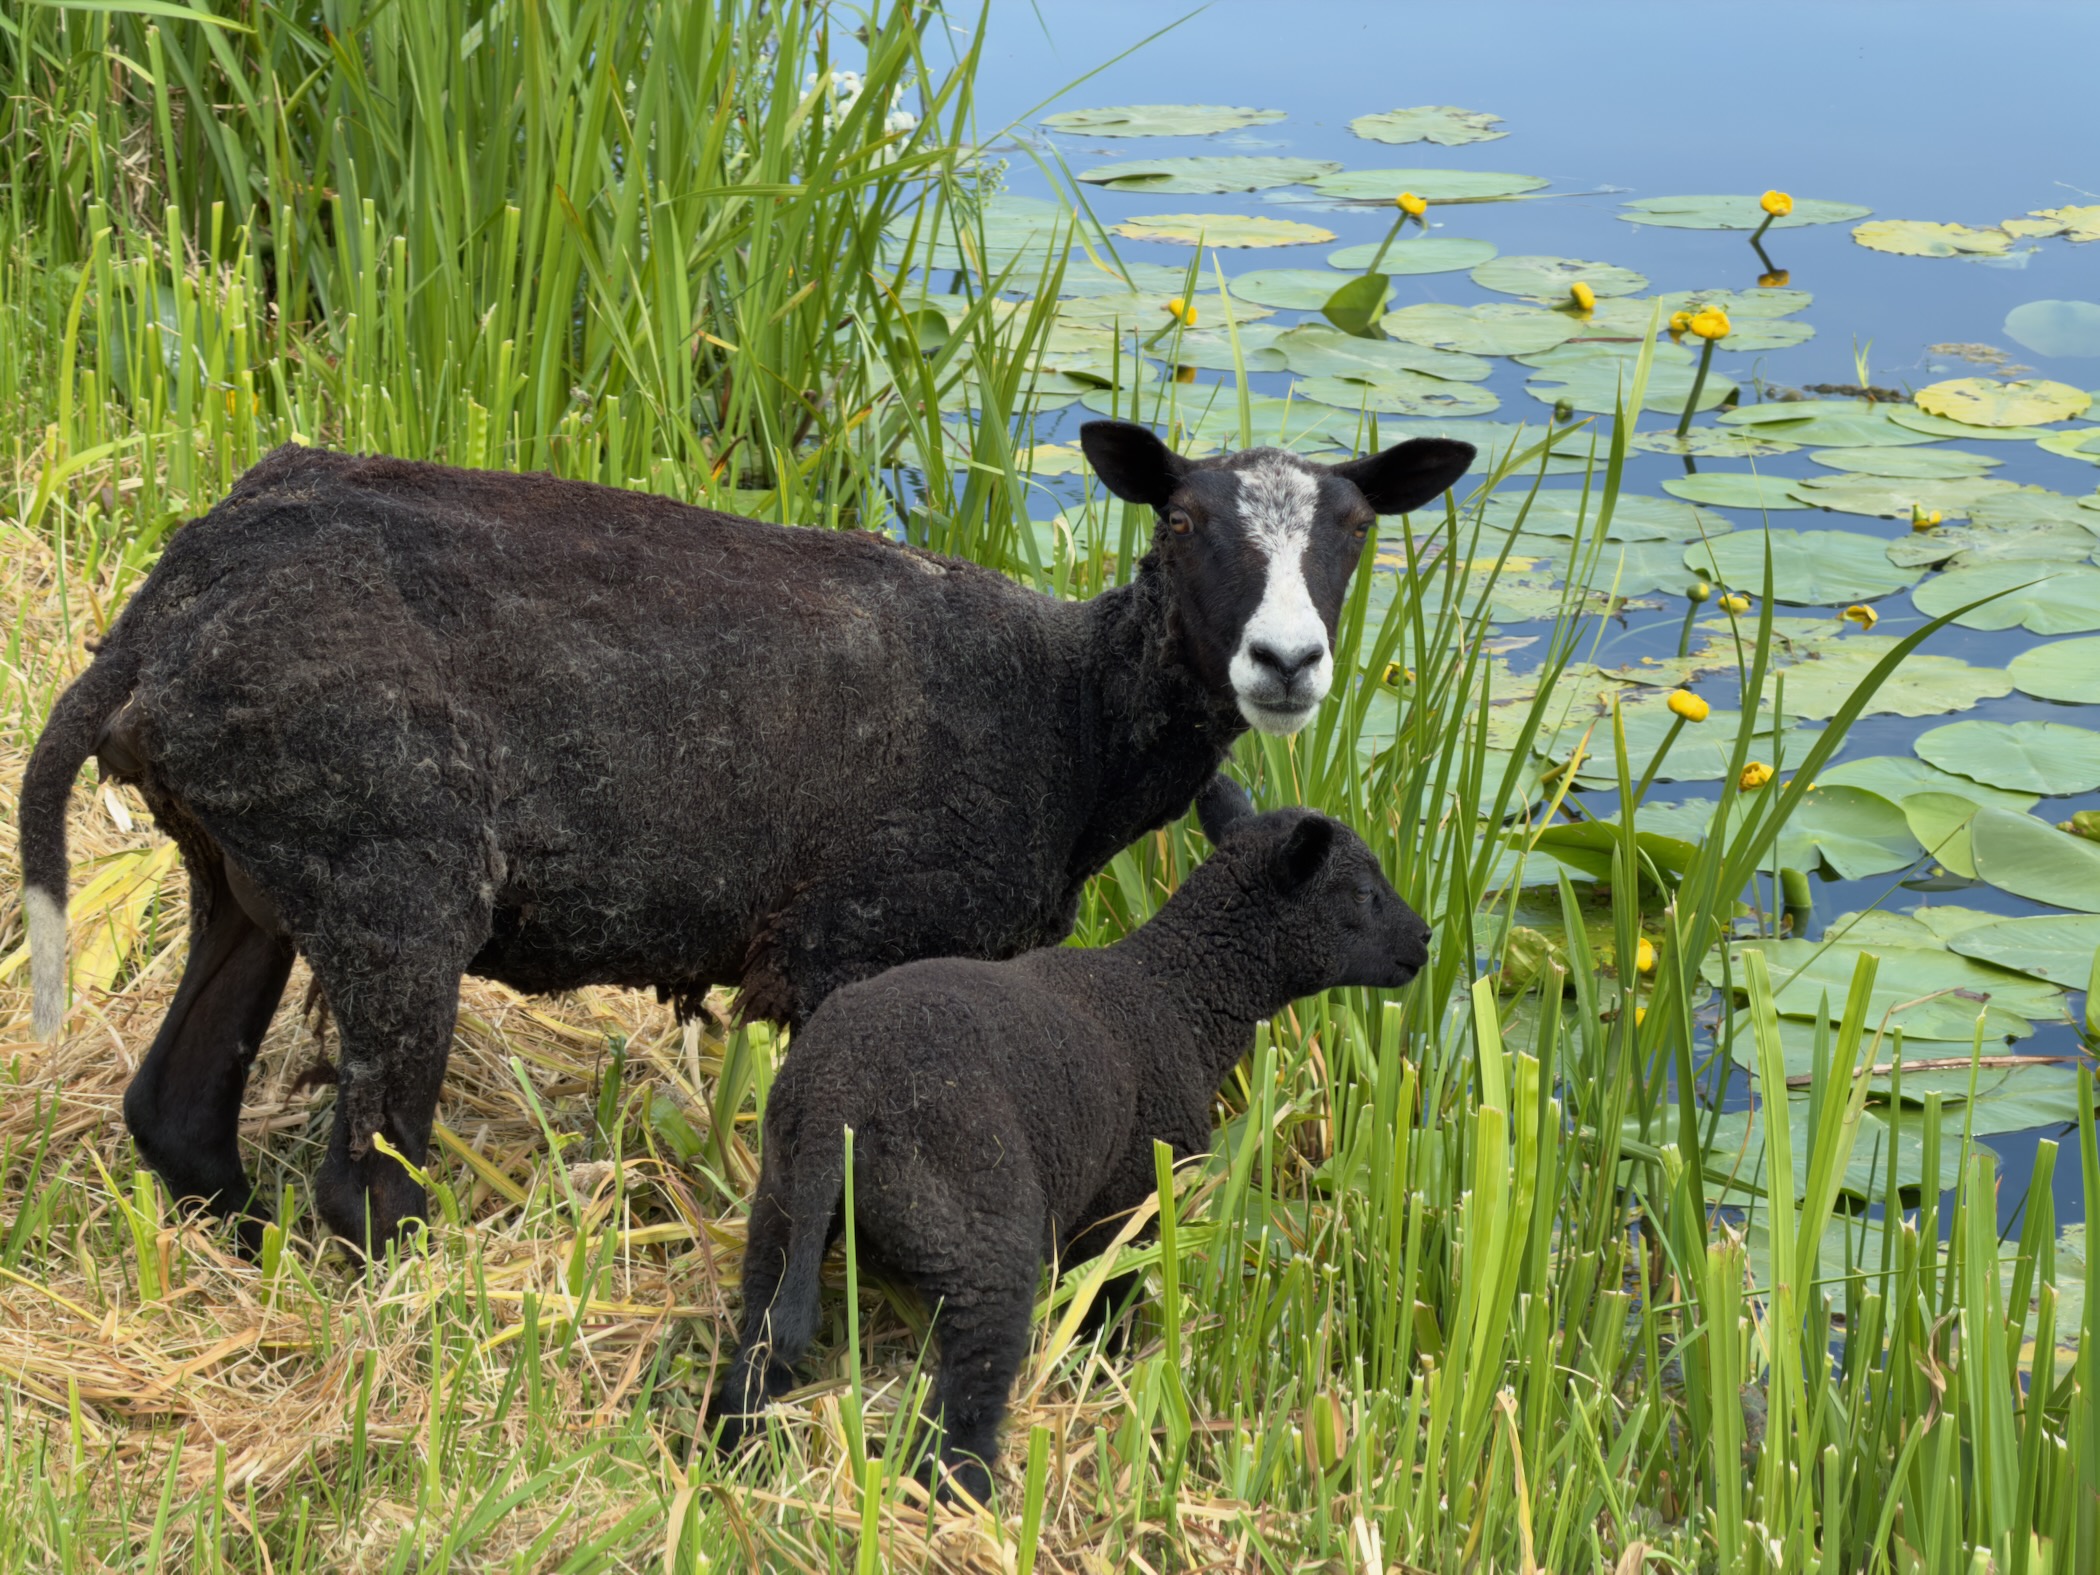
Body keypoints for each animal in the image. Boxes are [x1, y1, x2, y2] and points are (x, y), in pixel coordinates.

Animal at [18, 424, 1470, 1255]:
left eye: (1355, 531)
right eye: (1181, 523)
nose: (1287, 662)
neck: (1069, 717)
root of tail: (158, 616)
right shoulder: (856, 944)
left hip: (254, 861)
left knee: (179, 1114)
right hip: (393, 871)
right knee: (363, 1186)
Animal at [708, 775, 1431, 1505]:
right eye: (1362, 893)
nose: (1426, 938)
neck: (1181, 995)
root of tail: (838, 1102)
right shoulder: (1129, 1196)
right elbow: (1106, 1299)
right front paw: (1104, 1370)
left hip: (780, 1210)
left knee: (759, 1347)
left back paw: (738, 1457)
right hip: (978, 1219)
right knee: (969, 1385)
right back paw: (966, 1493)